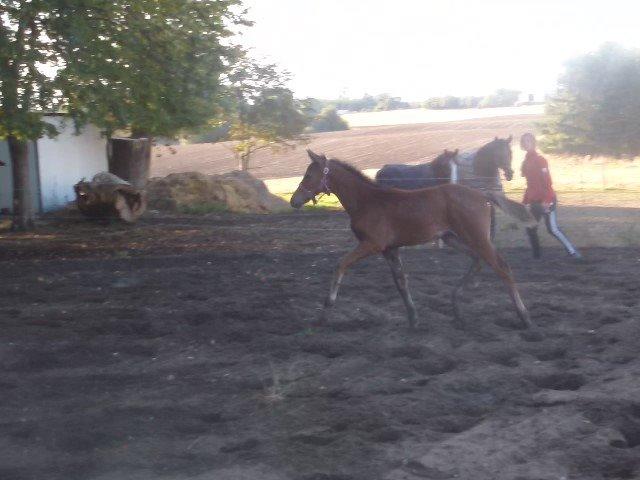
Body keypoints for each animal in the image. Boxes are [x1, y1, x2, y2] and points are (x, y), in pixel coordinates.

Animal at [292, 150, 536, 330]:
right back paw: (456, 306)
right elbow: (401, 282)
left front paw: (324, 312)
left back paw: (524, 316)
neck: (368, 201)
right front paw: (413, 318)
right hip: (452, 238)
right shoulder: (390, 249)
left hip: (476, 237)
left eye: (309, 175)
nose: (294, 201)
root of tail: (482, 194)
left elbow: (340, 265)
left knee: (503, 267)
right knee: (477, 261)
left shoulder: (372, 244)